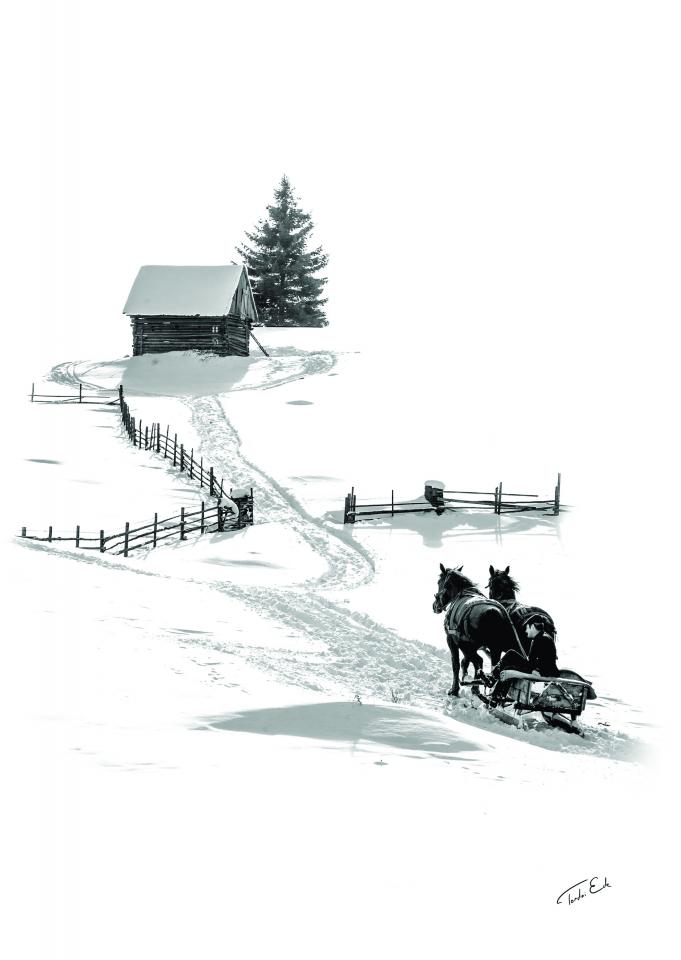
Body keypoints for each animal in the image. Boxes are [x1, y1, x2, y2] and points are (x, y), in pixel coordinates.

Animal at [433, 563, 521, 696]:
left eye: (439, 582)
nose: (435, 606)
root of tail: (494, 613)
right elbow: (467, 662)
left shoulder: (452, 640)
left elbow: (456, 664)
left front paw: (454, 689)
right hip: (496, 648)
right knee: (493, 668)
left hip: (470, 645)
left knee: (479, 661)